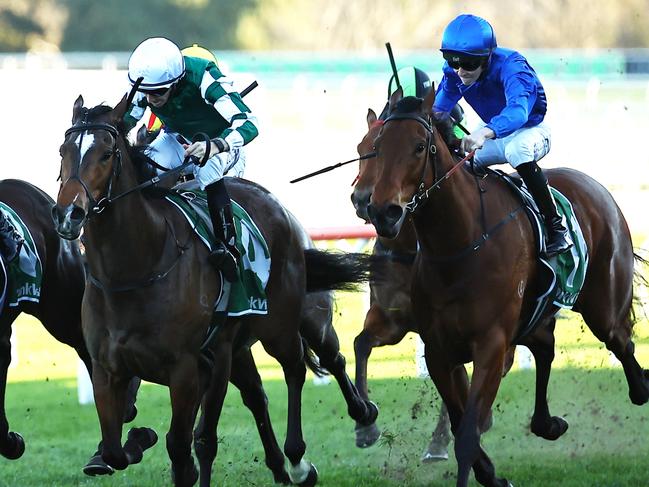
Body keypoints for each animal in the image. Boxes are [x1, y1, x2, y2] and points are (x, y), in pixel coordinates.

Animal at [53, 95, 378, 487]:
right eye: (63, 151)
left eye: (105, 154)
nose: (68, 213)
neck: (134, 272)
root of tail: (273, 203)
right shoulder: (108, 368)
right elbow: (116, 449)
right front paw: (133, 440)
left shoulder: (189, 367)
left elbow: (187, 444)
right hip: (240, 348)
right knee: (258, 394)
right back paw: (282, 464)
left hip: (283, 325)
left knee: (308, 363)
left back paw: (327, 441)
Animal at [368, 88, 644, 487]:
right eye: (375, 147)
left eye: (419, 147)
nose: (383, 212)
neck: (459, 245)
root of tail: (595, 188)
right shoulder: (439, 350)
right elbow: (459, 421)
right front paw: (492, 475)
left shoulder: (492, 344)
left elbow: (468, 430)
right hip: (534, 315)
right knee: (546, 347)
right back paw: (548, 423)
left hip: (602, 305)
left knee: (621, 341)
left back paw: (641, 387)